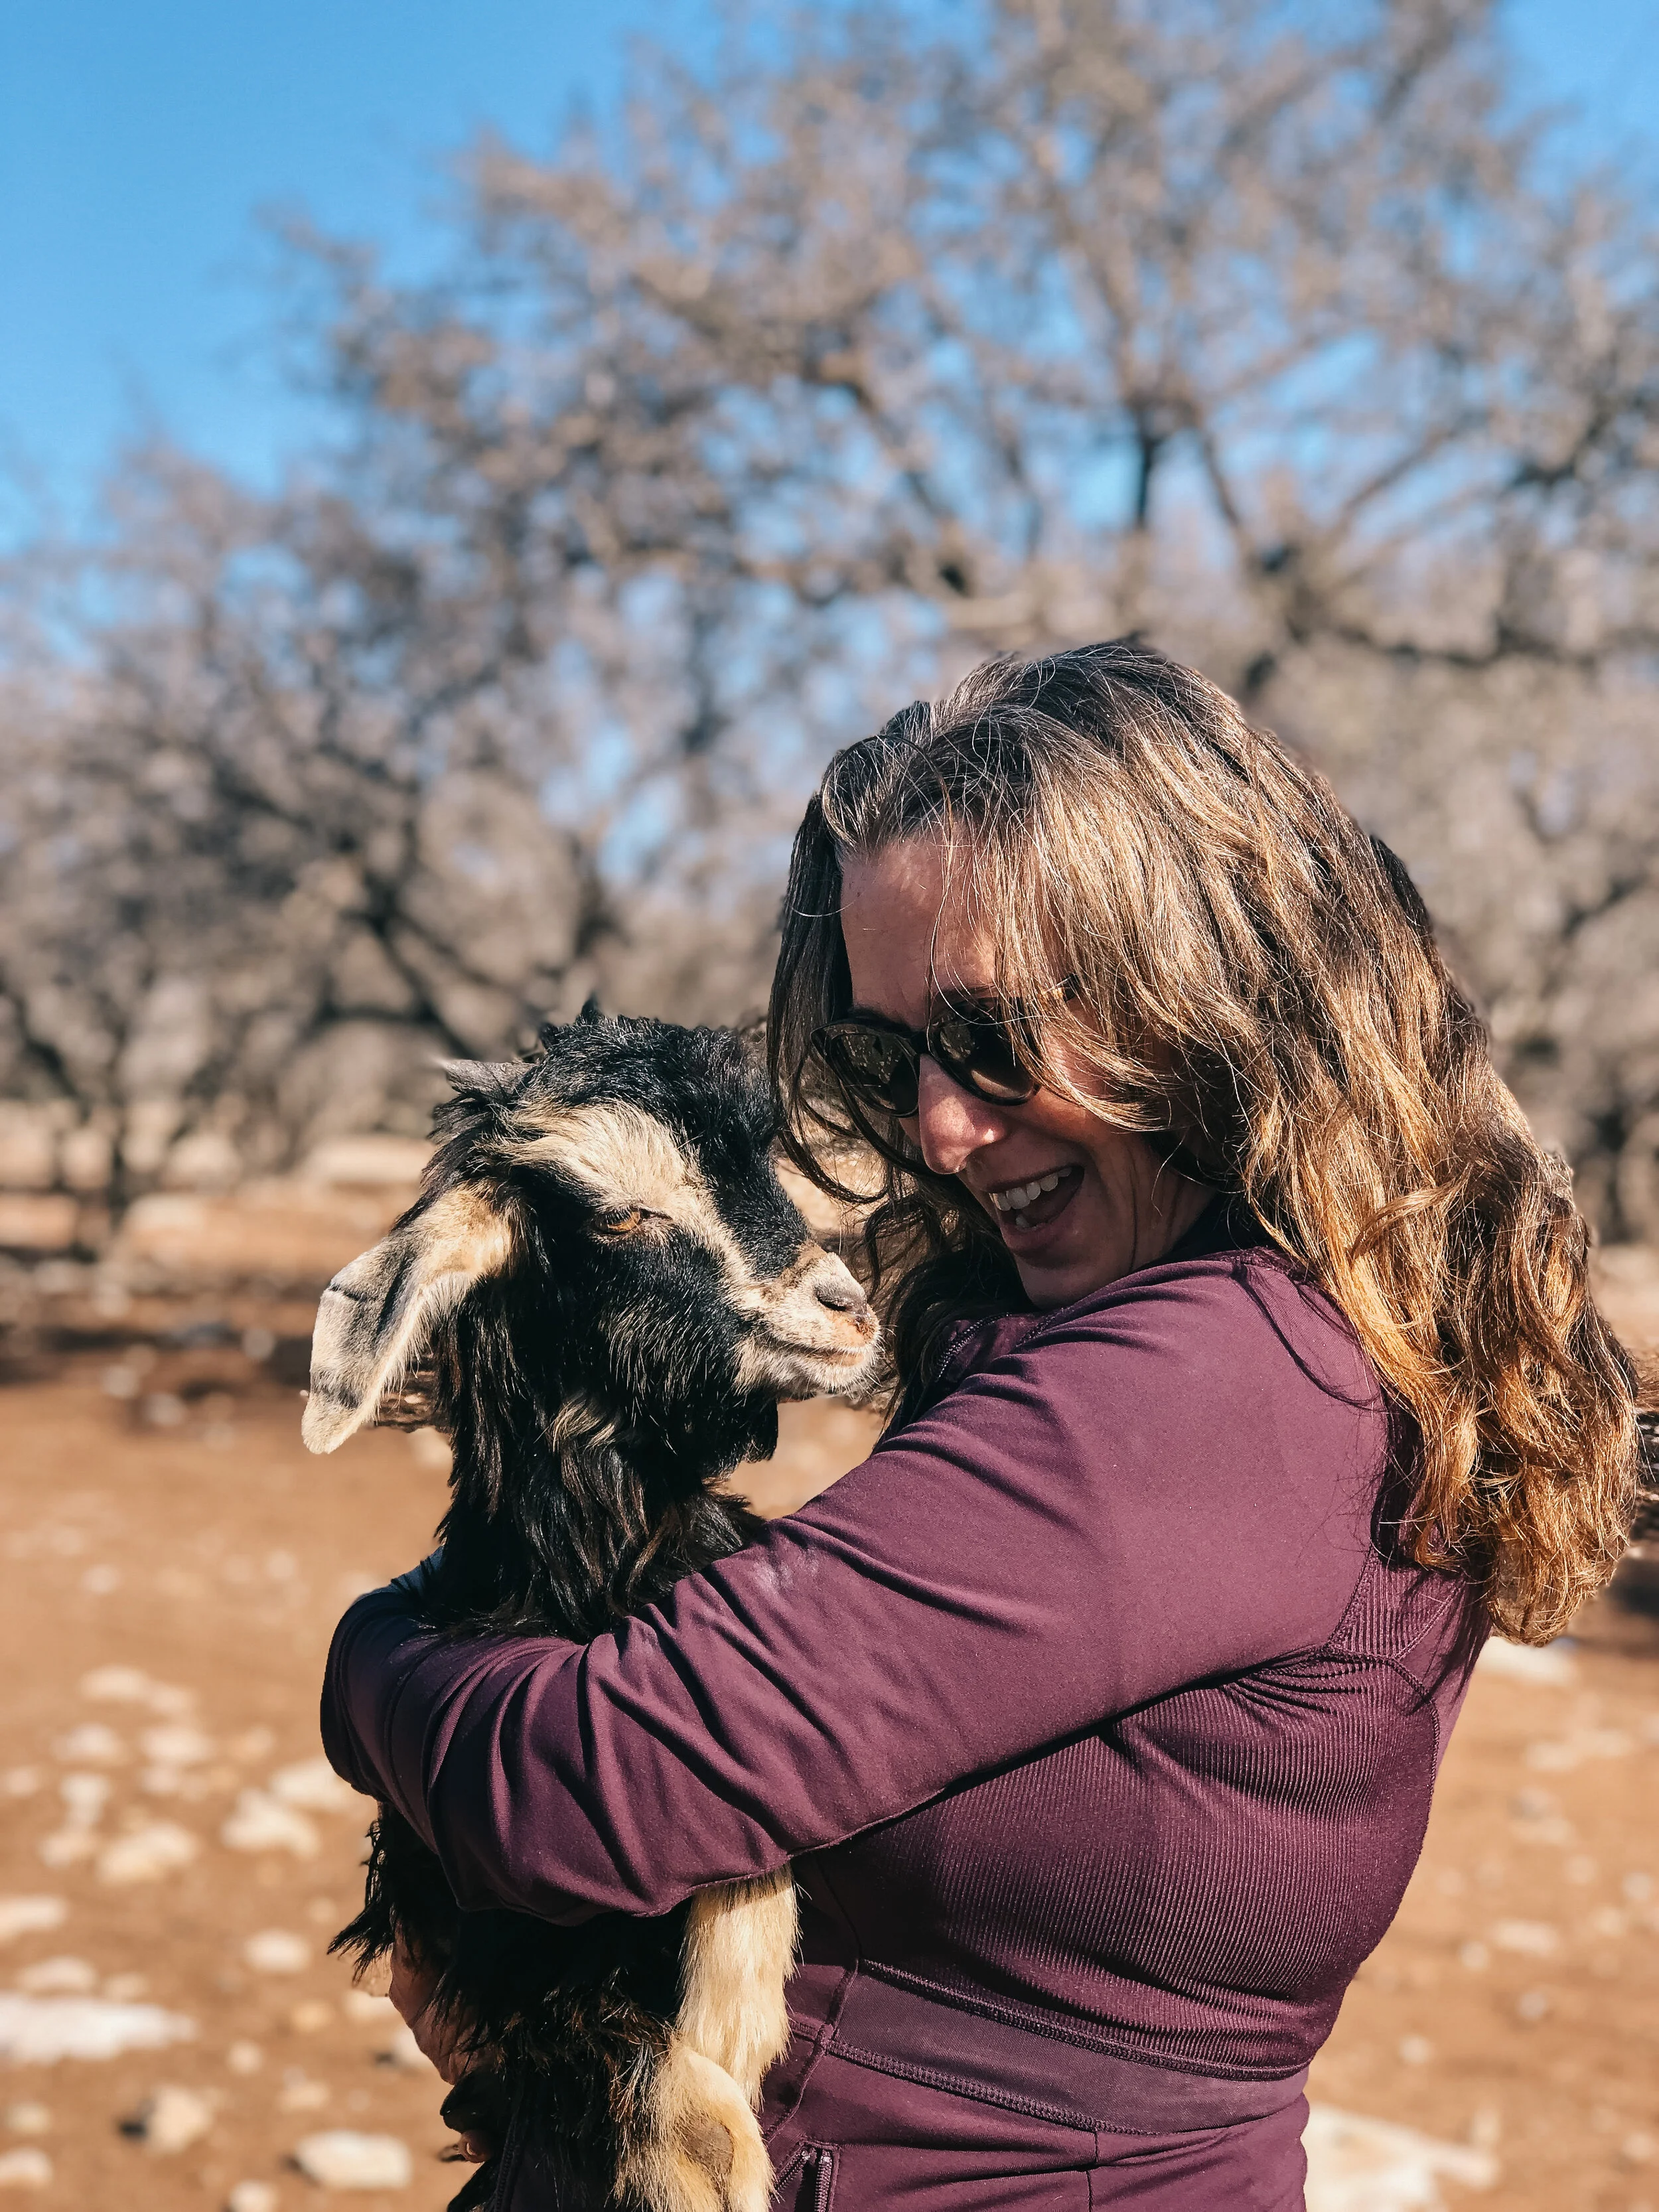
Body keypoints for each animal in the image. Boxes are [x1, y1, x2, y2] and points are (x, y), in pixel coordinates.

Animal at [305, 1008, 889, 2212]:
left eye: (765, 1162)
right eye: (621, 1210)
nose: (846, 1310)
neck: (590, 1581)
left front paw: (738, 2011)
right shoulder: (501, 1949)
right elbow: (689, 2122)